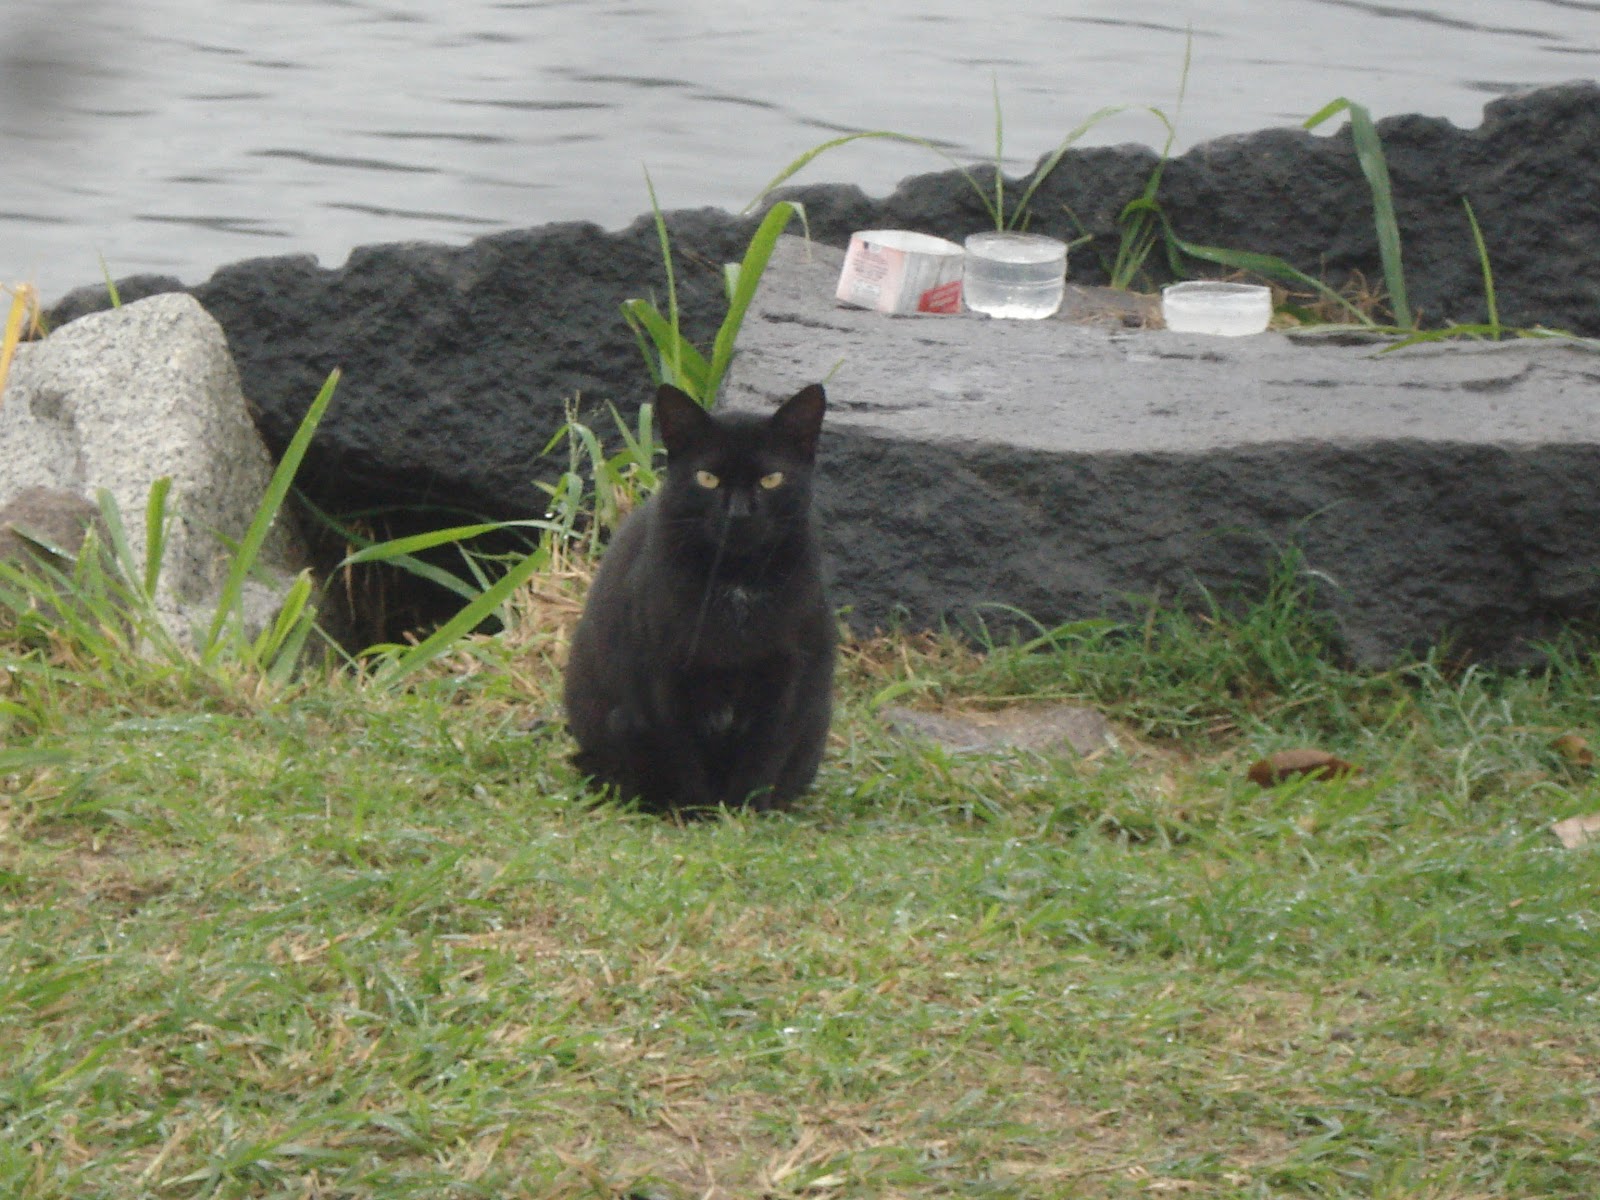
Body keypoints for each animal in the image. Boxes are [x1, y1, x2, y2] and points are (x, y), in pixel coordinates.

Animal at [562, 381, 836, 814]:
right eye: (707, 478)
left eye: (771, 479)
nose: (739, 513)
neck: (736, 580)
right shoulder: (662, 675)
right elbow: (682, 752)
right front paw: (697, 813)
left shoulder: (788, 674)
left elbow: (765, 753)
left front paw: (744, 813)